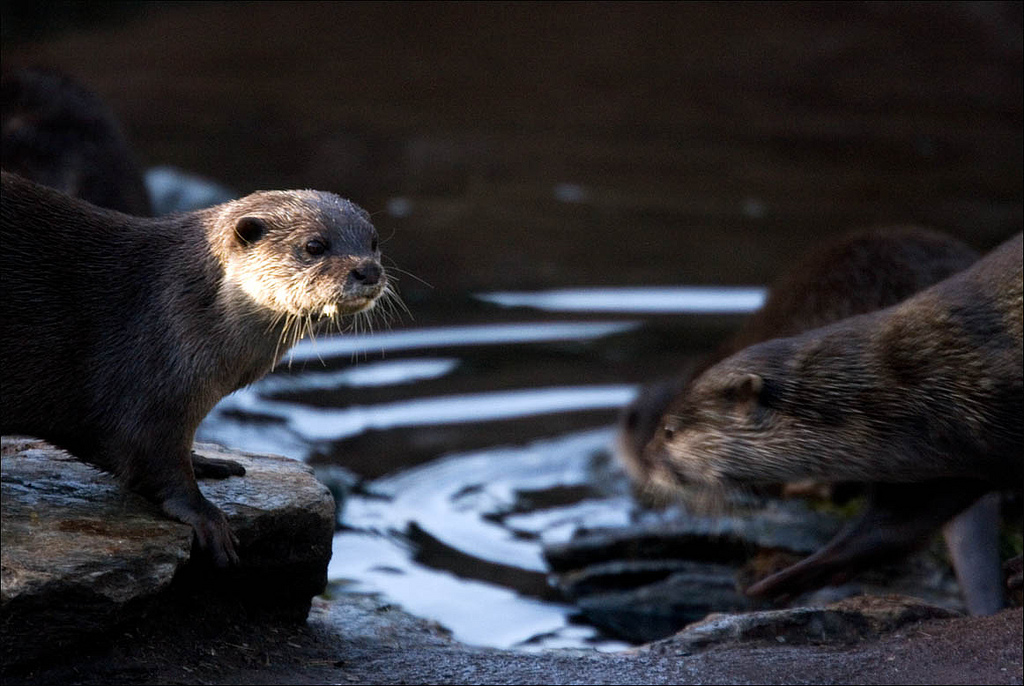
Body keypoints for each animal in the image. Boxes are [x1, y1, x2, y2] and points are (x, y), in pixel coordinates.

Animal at [1, 171, 390, 566]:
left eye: (373, 242)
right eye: (314, 245)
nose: (368, 270)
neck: (172, 302)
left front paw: (205, 461)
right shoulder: (145, 386)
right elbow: (153, 463)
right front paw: (207, 517)